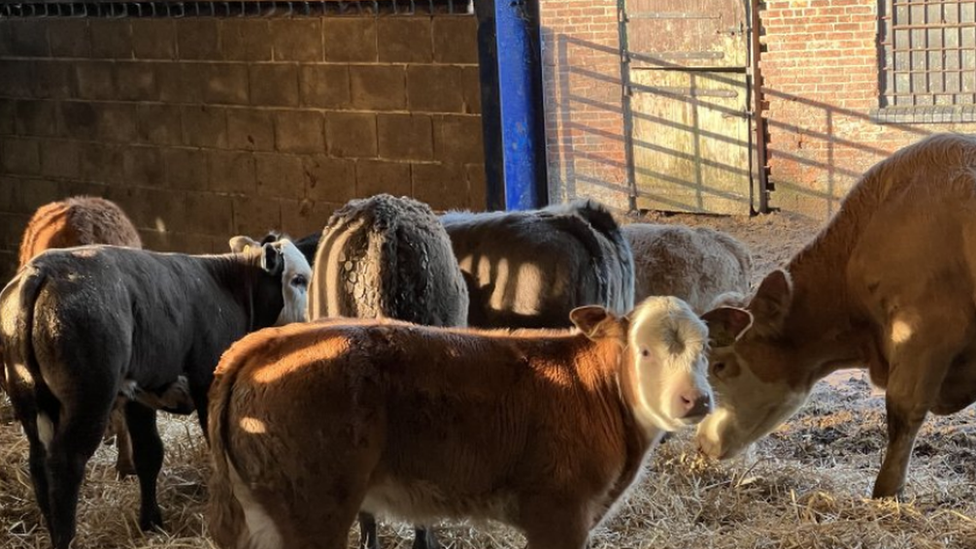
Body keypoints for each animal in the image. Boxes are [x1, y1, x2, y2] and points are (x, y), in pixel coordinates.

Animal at [0, 238, 308, 548]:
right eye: (299, 279)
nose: (308, 321)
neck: (231, 286)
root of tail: (41, 271)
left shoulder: (138, 396)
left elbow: (149, 455)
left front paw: (151, 521)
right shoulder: (205, 384)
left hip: (30, 400)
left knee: (39, 463)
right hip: (89, 399)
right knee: (66, 465)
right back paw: (65, 537)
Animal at [208, 296, 708, 548]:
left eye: (705, 350)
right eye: (644, 350)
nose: (696, 399)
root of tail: (268, 340)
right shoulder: (559, 512)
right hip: (314, 508)